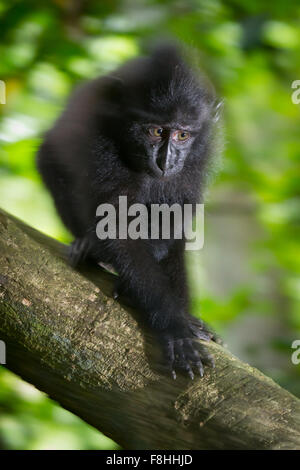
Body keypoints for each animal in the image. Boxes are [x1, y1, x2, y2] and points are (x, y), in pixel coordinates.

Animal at [37, 44, 220, 380]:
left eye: (182, 136)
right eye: (157, 131)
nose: (167, 160)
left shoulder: (200, 156)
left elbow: (174, 221)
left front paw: (185, 317)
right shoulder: (98, 132)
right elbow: (117, 225)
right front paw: (175, 328)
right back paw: (88, 247)